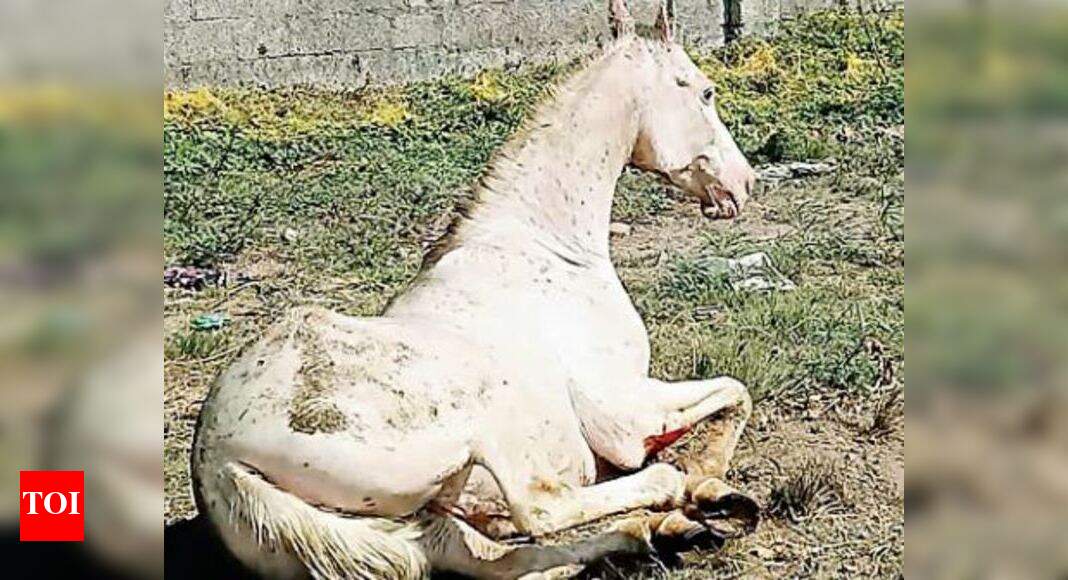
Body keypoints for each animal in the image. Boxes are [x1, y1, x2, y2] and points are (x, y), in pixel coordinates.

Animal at [191, 1, 759, 577]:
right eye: (705, 91)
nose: (744, 184)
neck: (544, 244)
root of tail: (217, 462)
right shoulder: (623, 414)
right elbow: (734, 392)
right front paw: (704, 481)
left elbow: (735, 396)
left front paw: (710, 494)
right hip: (485, 419)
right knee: (541, 507)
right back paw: (669, 507)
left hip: (418, 527)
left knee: (498, 556)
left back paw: (657, 530)